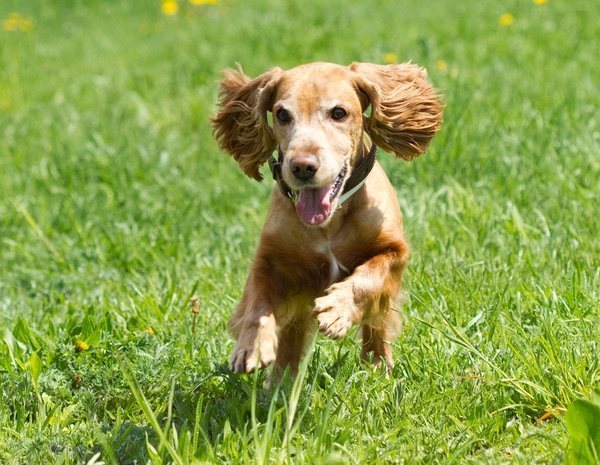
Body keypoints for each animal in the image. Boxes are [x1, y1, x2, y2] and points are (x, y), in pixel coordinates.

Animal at [211, 60, 440, 374]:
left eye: (338, 112)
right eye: (282, 114)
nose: (302, 167)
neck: (329, 222)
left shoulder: (395, 250)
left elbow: (370, 276)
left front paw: (337, 310)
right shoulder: (270, 257)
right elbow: (258, 299)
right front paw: (251, 344)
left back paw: (378, 366)